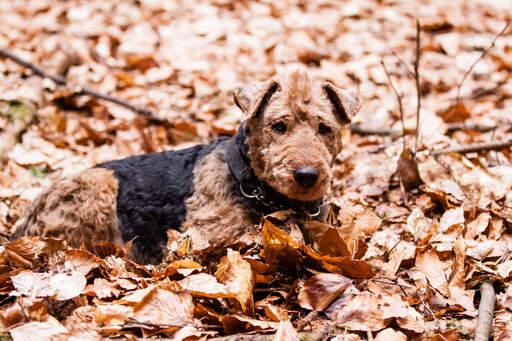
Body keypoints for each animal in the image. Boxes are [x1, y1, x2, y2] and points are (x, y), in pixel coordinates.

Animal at [13, 70, 364, 262]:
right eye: (279, 126)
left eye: (324, 127)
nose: (307, 176)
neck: (250, 183)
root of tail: (22, 225)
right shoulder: (208, 233)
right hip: (98, 187)